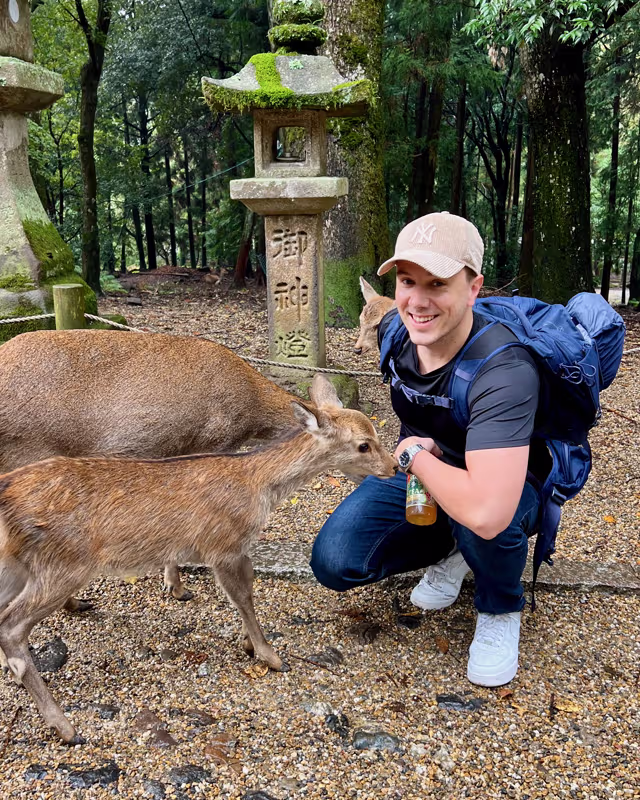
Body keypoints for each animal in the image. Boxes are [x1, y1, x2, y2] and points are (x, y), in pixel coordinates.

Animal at [0, 329, 308, 608]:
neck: (252, 413)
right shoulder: (211, 442)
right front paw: (179, 589)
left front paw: (174, 586)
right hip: (27, 453)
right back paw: (73, 603)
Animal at [0, 375, 397, 745]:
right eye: (363, 444)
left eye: (375, 431)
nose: (395, 466)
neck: (258, 486)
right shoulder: (223, 544)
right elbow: (243, 598)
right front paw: (269, 655)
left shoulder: (237, 548)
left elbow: (246, 590)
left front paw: (247, 642)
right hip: (64, 563)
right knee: (11, 626)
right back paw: (66, 727)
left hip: (20, 566)